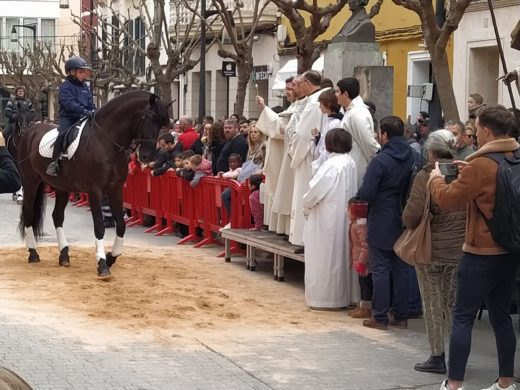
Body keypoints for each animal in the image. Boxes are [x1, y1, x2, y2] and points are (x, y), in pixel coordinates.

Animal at [16, 91, 170, 278]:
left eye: (162, 123)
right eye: (149, 117)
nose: (147, 156)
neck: (105, 141)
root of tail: (30, 130)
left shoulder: (115, 190)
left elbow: (121, 225)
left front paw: (111, 257)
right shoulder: (95, 191)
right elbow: (99, 227)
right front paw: (102, 264)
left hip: (61, 187)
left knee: (57, 216)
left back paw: (64, 255)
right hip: (30, 182)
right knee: (29, 214)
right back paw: (33, 253)